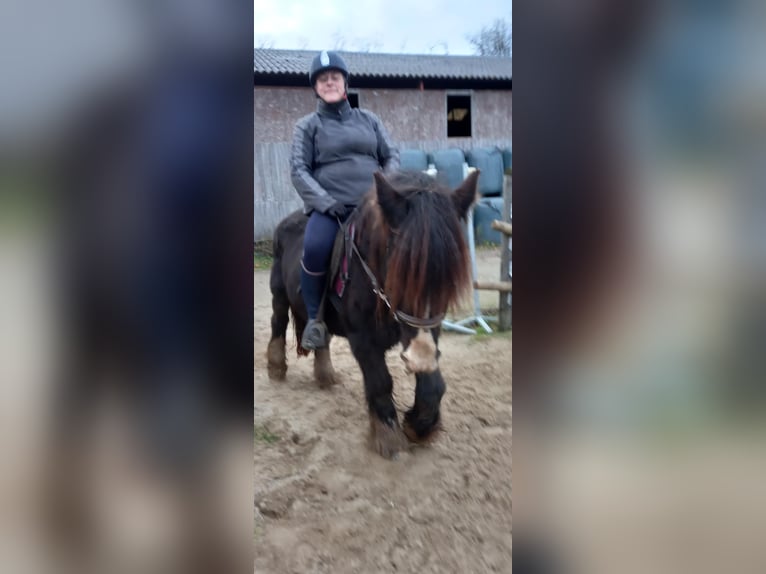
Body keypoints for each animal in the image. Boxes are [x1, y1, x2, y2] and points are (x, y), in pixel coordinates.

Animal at [268, 170, 476, 460]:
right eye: (398, 266)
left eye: (449, 276)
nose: (419, 357)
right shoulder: (363, 339)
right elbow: (380, 382)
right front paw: (388, 437)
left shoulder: (424, 335)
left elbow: (433, 385)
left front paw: (419, 426)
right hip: (278, 293)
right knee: (278, 322)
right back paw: (276, 367)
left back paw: (325, 375)